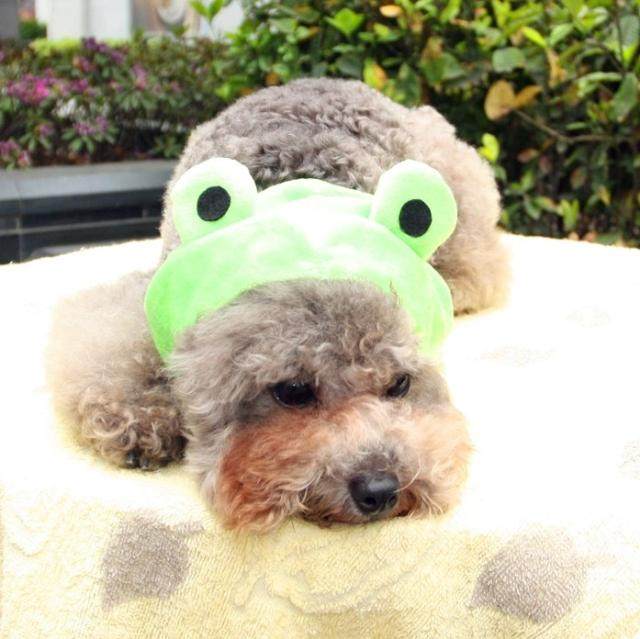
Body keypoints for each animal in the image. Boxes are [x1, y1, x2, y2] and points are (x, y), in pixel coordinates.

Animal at [46, 79, 508, 531]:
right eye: (292, 391)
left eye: (399, 384)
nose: (380, 489)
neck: (302, 202)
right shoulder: (151, 299)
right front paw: (140, 420)